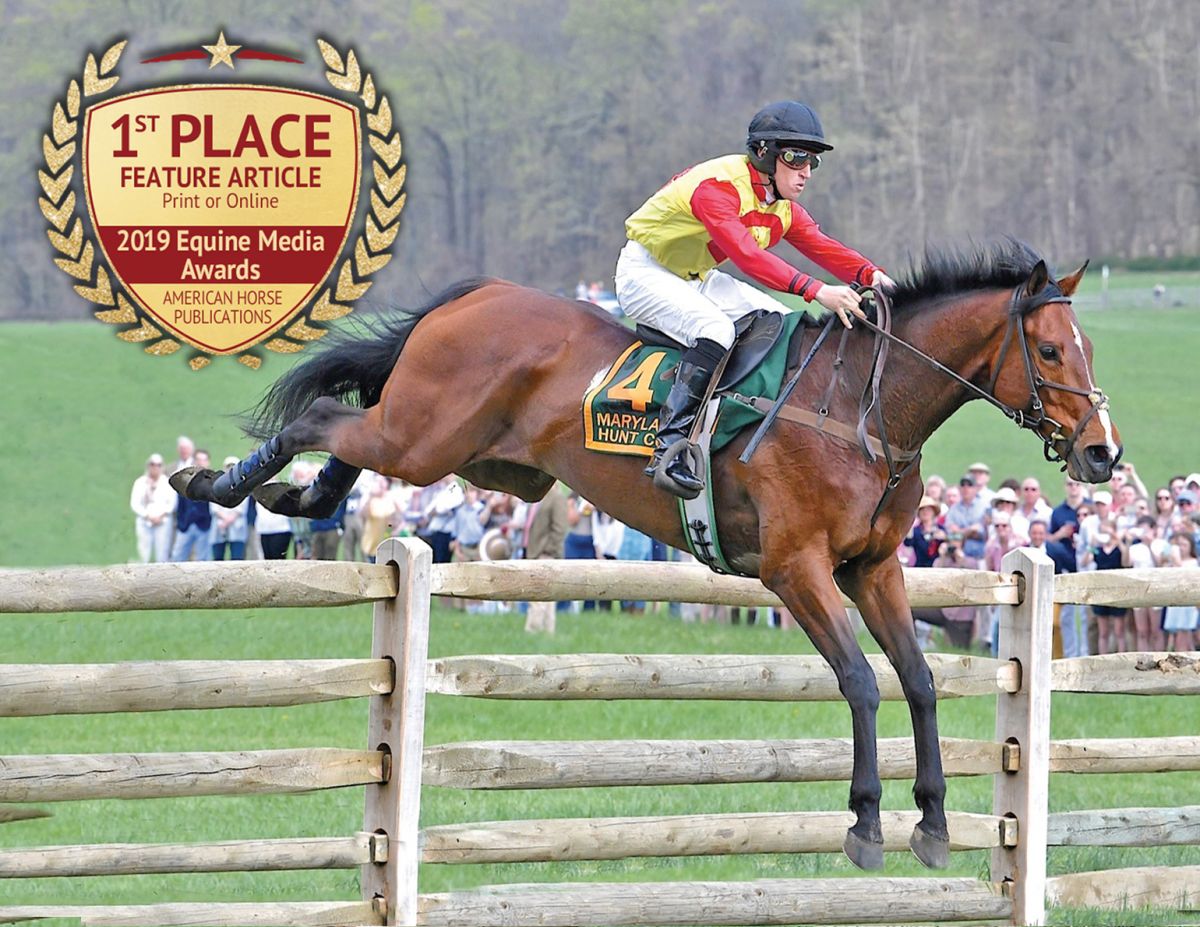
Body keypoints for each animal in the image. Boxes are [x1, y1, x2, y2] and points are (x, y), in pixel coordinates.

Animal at [174, 239, 1120, 871]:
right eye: (1048, 349)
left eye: (1088, 347)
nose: (1104, 454)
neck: (861, 404)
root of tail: (476, 295)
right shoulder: (795, 568)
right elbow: (858, 680)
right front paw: (864, 821)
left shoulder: (874, 567)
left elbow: (919, 679)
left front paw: (931, 821)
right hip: (427, 436)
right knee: (319, 416)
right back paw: (222, 482)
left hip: (477, 459)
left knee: (351, 426)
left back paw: (297, 497)